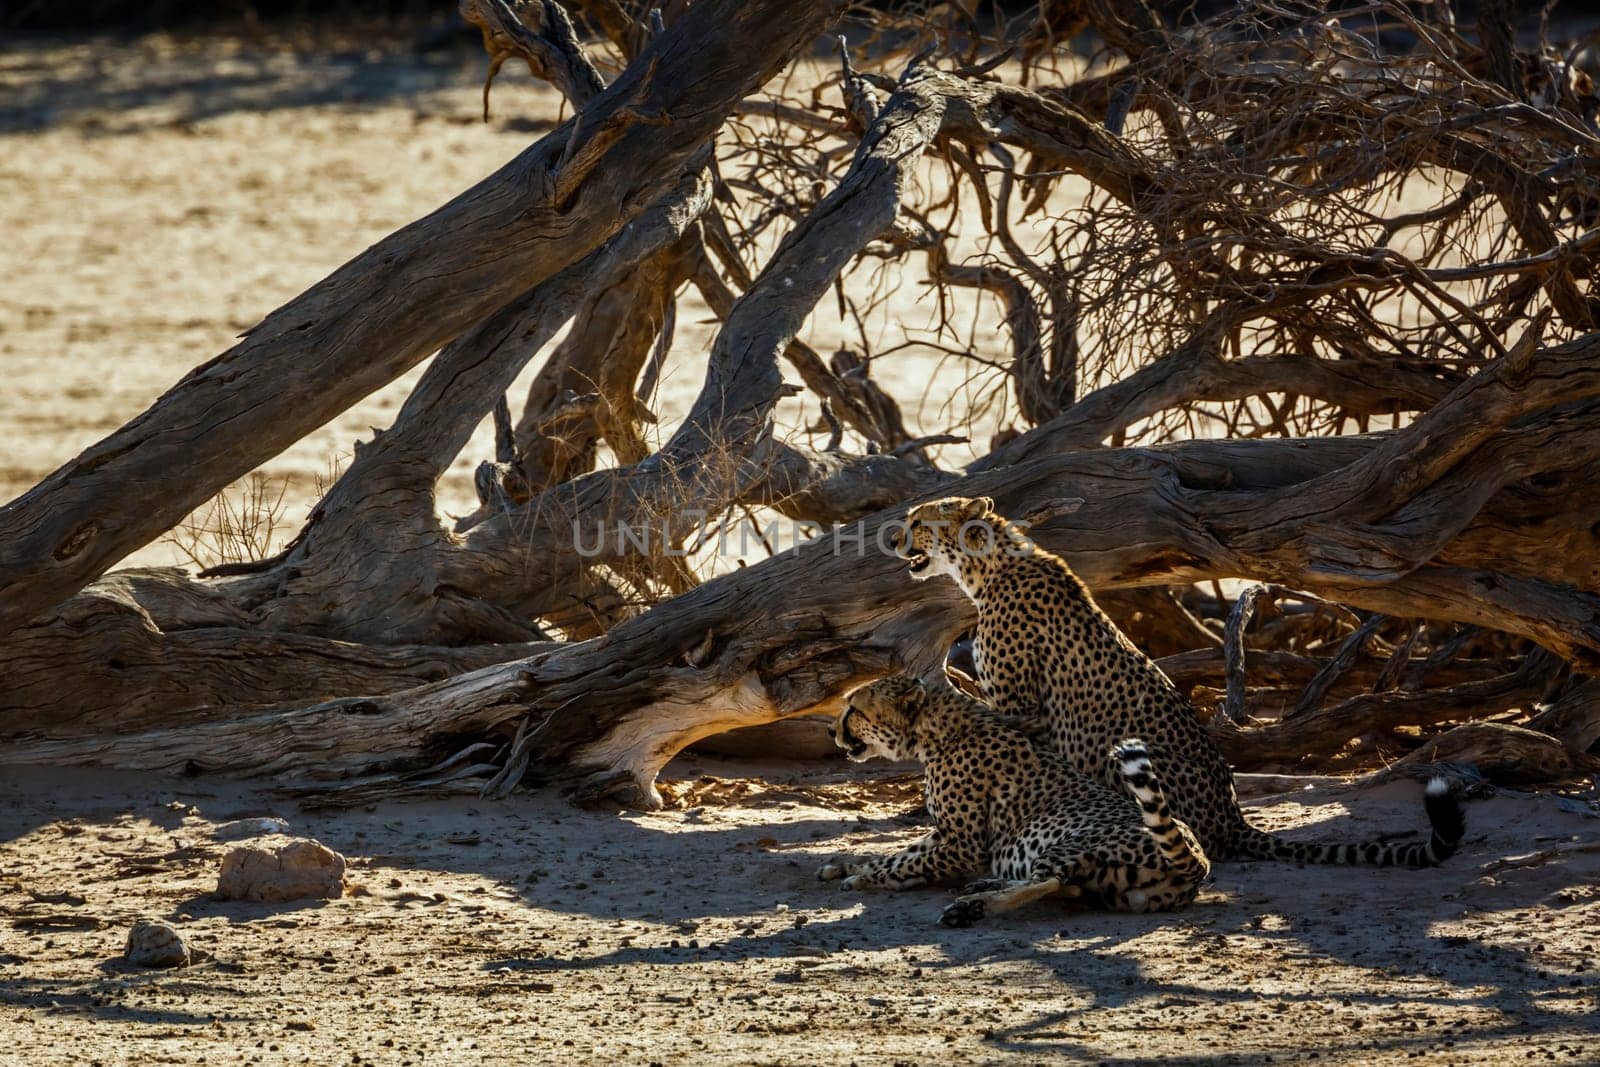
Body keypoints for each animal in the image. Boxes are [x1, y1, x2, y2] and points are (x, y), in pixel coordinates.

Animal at [819, 675, 1203, 927]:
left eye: (853, 709)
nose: (830, 731)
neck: (935, 735)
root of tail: (1198, 860)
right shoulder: (945, 833)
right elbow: (900, 853)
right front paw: (850, 867)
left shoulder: (964, 845)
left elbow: (907, 864)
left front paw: (865, 879)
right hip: (1111, 887)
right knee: (1070, 888)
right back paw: (985, 887)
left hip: (1072, 842)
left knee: (1051, 882)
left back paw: (973, 906)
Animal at [896, 495, 1465, 870]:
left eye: (918, 521)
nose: (897, 539)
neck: (987, 568)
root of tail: (1232, 815)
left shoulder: (1022, 706)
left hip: (1121, 754)